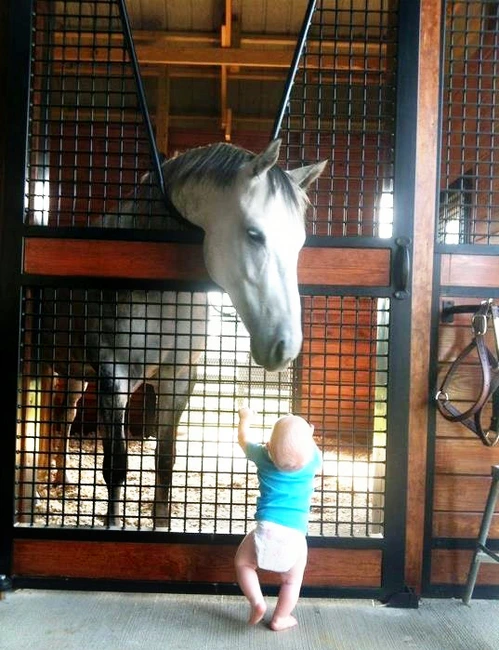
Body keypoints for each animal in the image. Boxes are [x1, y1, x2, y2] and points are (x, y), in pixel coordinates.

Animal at [36, 139, 327, 527]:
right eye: (254, 234)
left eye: (299, 242)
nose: (285, 345)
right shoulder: (115, 379)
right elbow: (115, 466)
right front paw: (113, 525)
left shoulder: (178, 380)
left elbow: (165, 461)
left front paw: (162, 525)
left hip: (76, 374)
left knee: (65, 417)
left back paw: (63, 479)